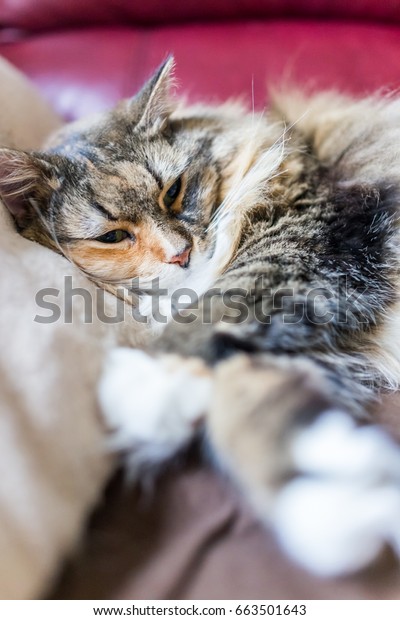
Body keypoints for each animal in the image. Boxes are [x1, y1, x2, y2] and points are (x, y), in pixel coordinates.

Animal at [2, 55, 400, 580]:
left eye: (173, 192)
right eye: (112, 236)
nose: (181, 254)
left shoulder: (306, 233)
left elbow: (219, 305)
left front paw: (144, 383)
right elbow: (251, 402)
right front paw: (332, 504)